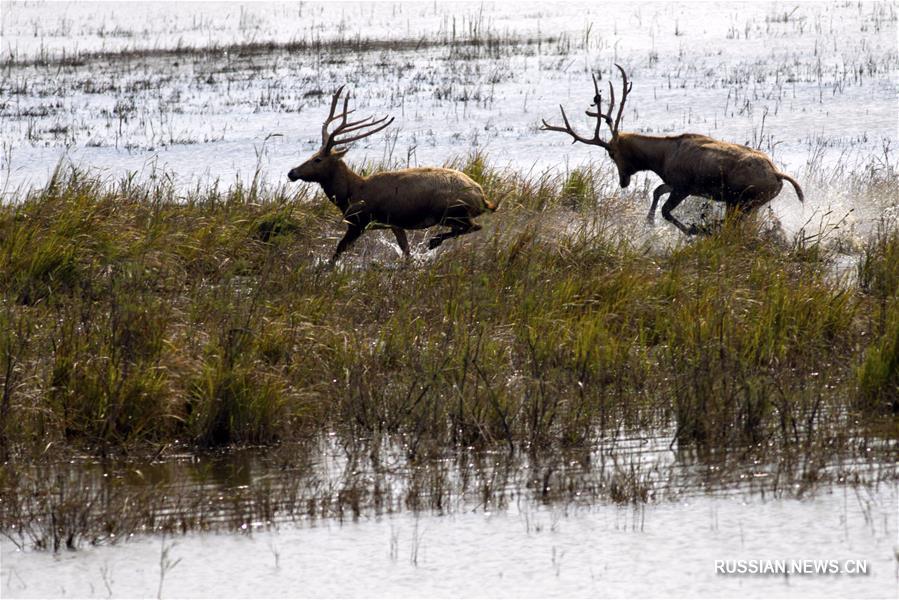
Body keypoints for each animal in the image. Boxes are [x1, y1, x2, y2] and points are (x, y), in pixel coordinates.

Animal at [288, 87, 500, 262]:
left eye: (317, 159)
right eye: (312, 155)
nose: (292, 172)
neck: (350, 194)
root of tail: (482, 198)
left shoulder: (360, 221)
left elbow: (338, 251)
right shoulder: (395, 224)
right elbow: (405, 251)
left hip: (449, 211)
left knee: (473, 226)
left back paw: (434, 241)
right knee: (467, 227)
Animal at [536, 65, 804, 234]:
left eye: (612, 153)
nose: (623, 182)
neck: (661, 157)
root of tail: (778, 175)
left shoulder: (685, 185)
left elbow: (666, 210)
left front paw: (695, 230)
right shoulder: (674, 183)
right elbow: (656, 191)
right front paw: (649, 222)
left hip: (742, 200)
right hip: (748, 204)